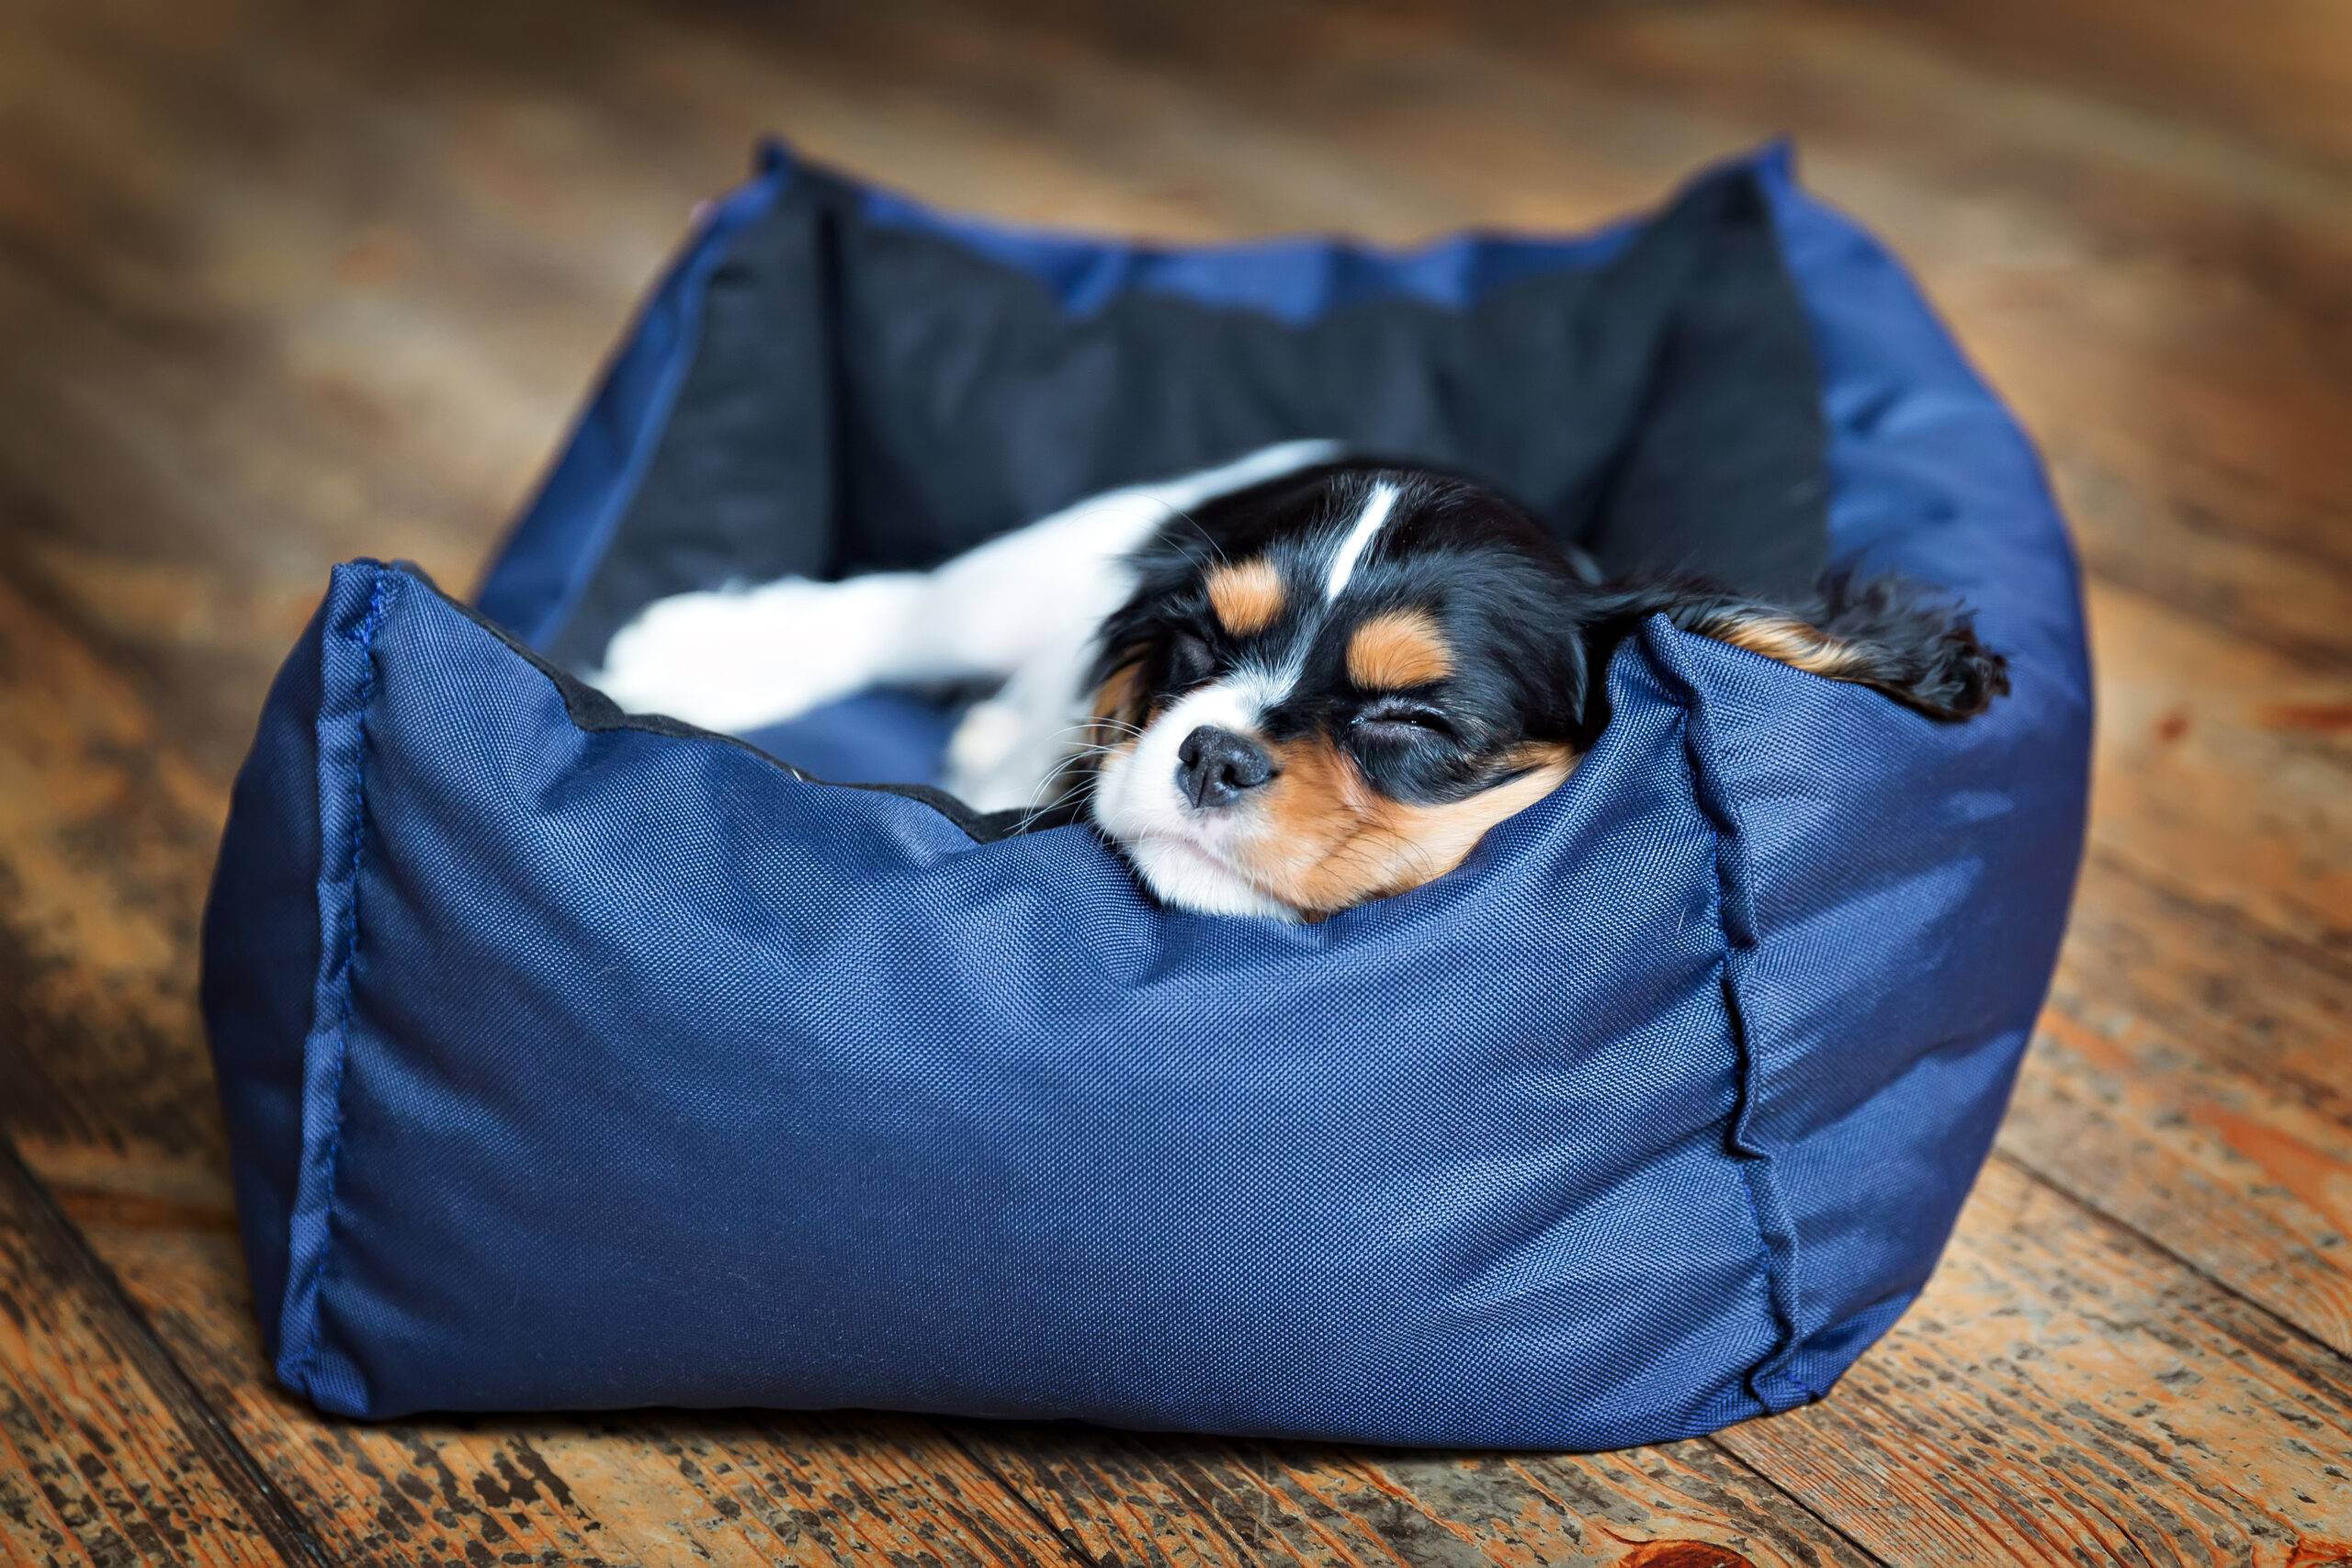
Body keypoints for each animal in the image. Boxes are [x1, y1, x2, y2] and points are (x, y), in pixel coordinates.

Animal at [593, 442, 2004, 921]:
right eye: (1202, 651)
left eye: (1412, 717)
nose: (1209, 751)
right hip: (1048, 554)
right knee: (902, 609)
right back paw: (703, 651)